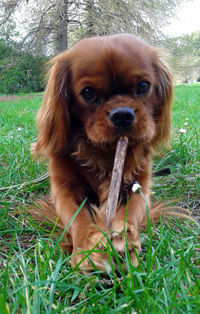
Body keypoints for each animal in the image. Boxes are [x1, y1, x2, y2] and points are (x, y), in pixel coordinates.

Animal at [32, 33, 173, 270]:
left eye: (143, 86)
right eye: (89, 93)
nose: (122, 114)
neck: (105, 151)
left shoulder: (141, 187)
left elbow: (132, 210)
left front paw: (124, 239)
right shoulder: (63, 189)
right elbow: (77, 217)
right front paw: (88, 248)